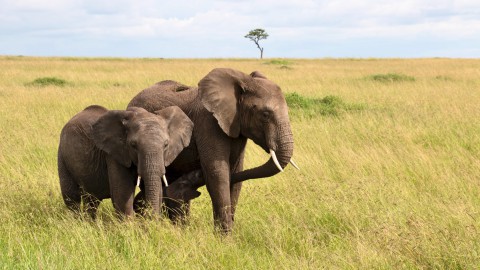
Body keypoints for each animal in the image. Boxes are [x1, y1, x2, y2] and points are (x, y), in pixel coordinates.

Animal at [58, 104, 195, 218]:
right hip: (62, 155)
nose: (155, 221)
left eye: (166, 145)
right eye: (133, 145)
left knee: (91, 200)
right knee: (72, 198)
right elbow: (122, 193)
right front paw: (129, 228)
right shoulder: (114, 154)